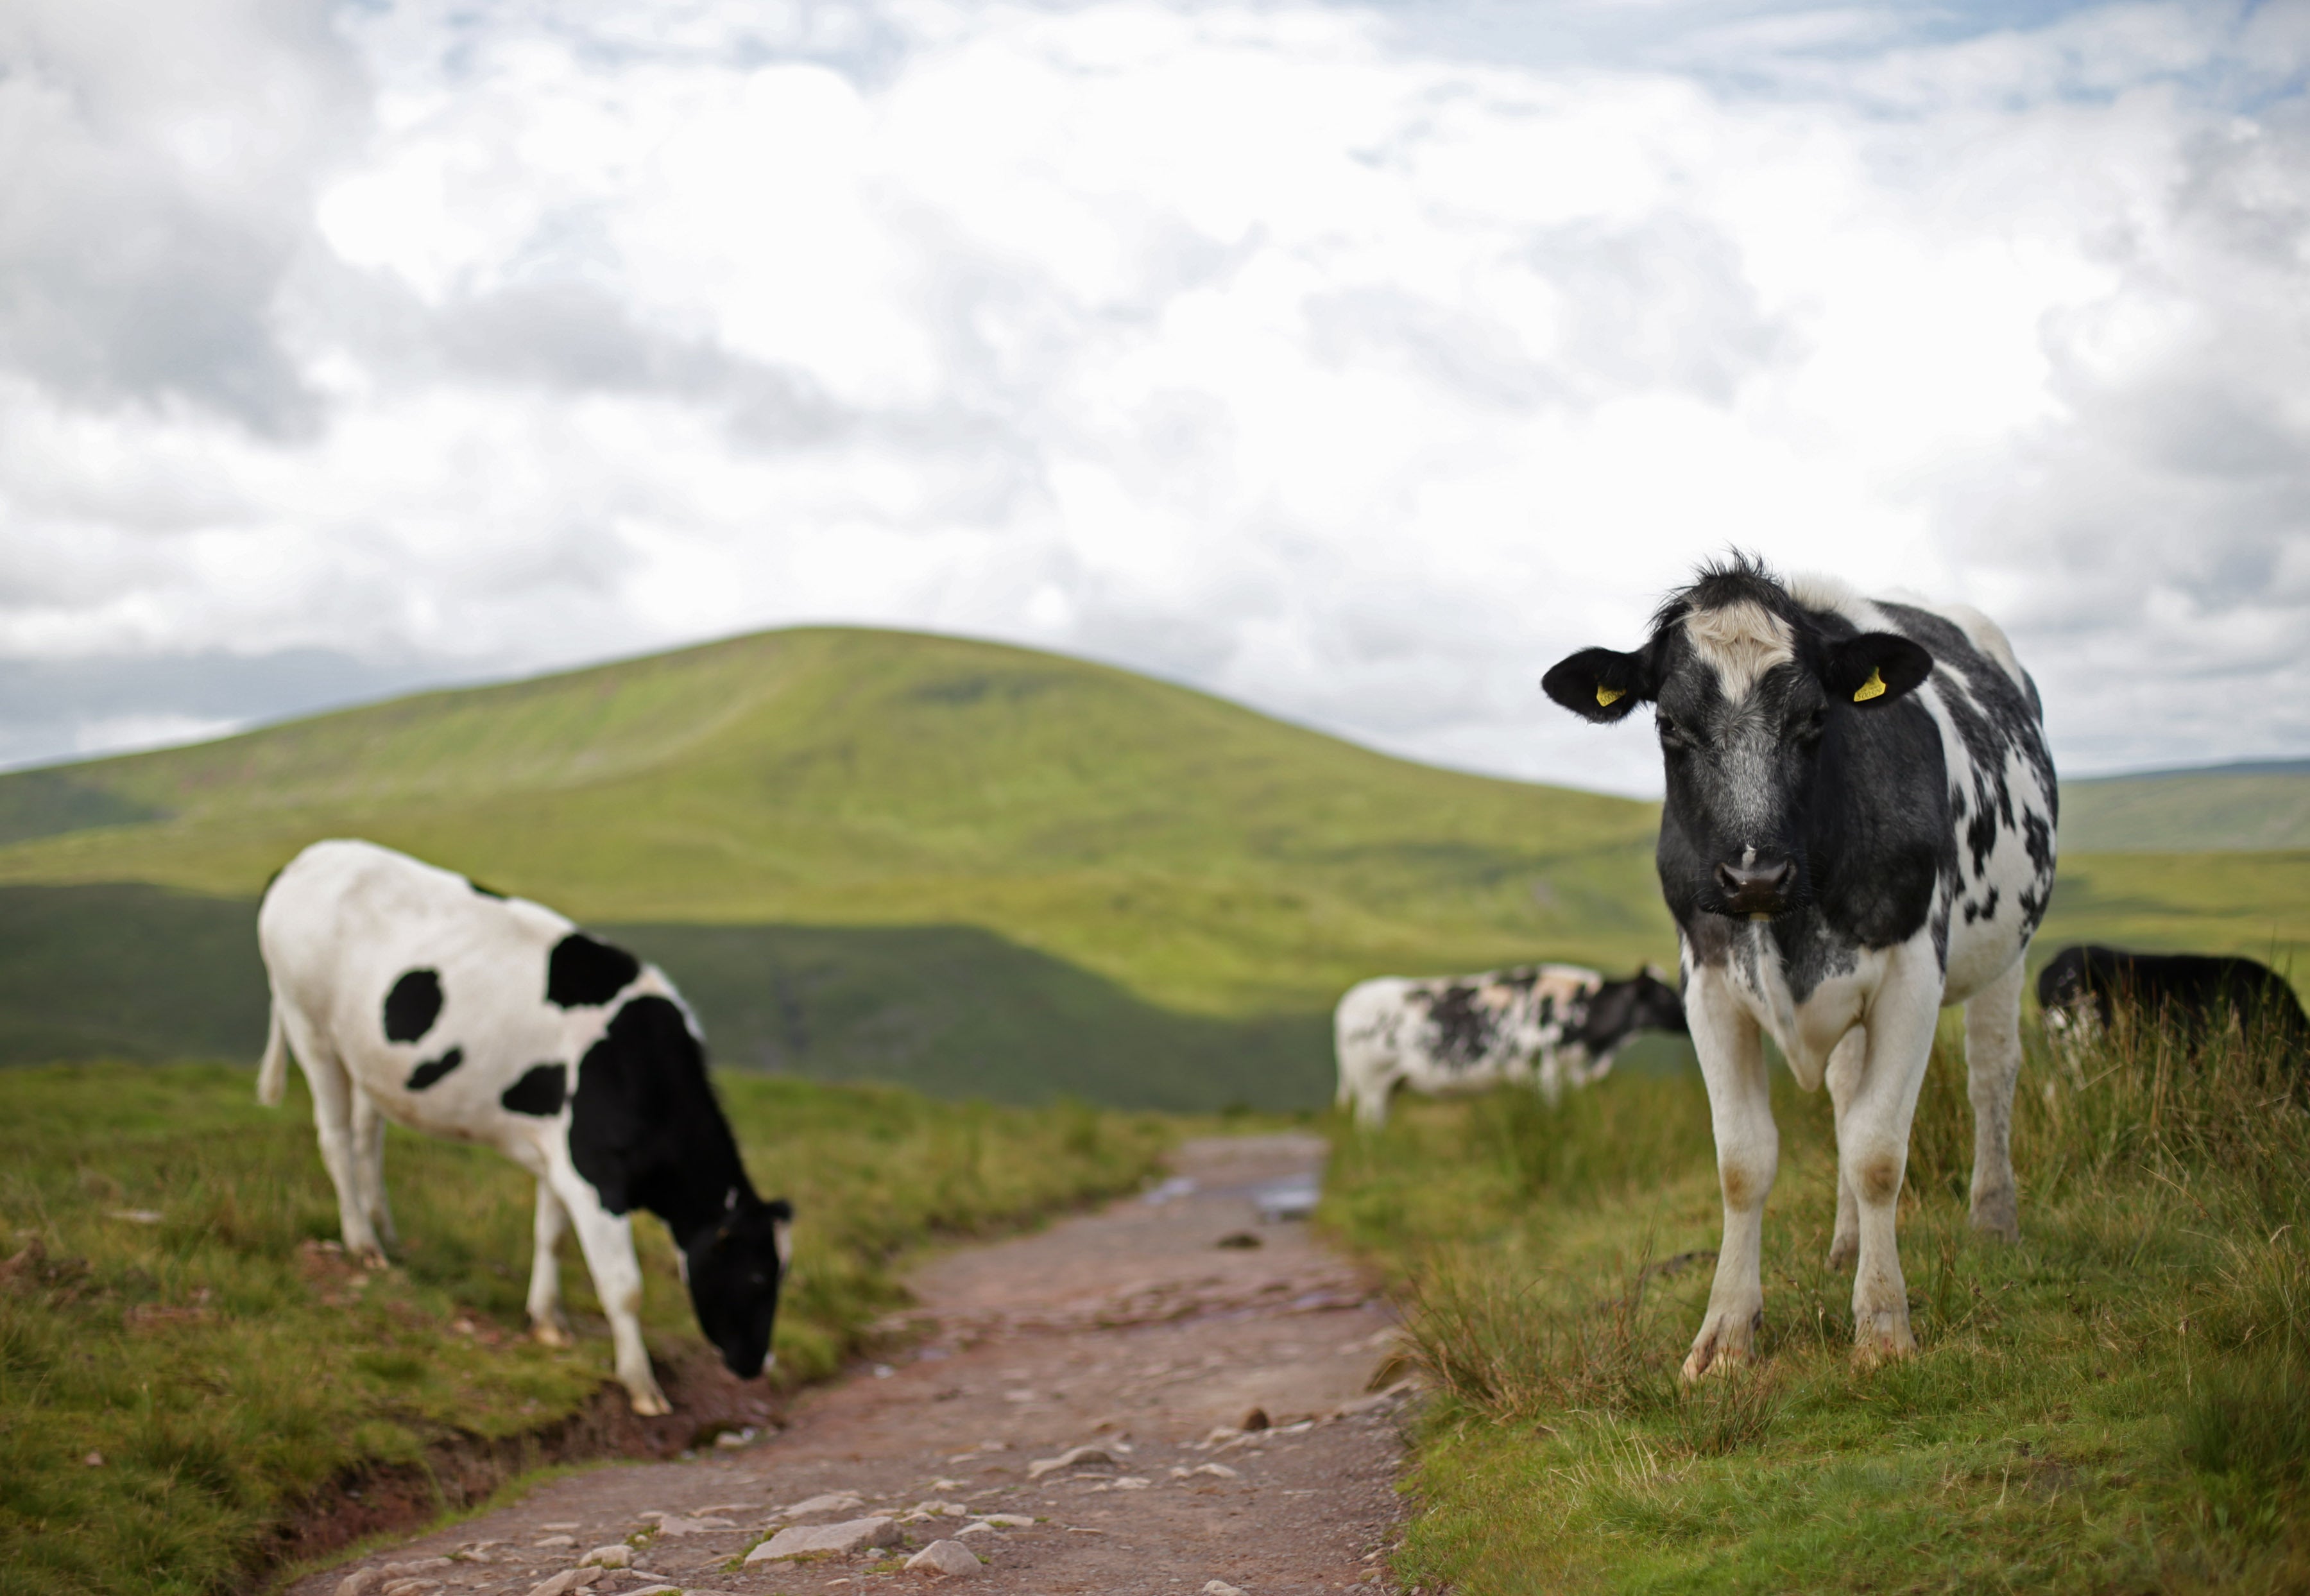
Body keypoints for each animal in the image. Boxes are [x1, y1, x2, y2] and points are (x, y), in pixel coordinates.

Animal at [260, 836, 794, 1413]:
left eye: (781, 1275)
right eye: (757, 1276)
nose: (757, 1365)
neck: (640, 1066)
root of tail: (309, 856)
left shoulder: (560, 1158)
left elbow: (550, 1235)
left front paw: (547, 1322)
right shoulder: (593, 1171)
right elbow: (623, 1285)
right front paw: (642, 1386)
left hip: (366, 1058)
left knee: (367, 1139)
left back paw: (386, 1232)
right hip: (310, 1028)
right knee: (335, 1139)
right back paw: (363, 1244)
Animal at [1330, 961, 1691, 1122]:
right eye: (1664, 994)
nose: (1690, 1017)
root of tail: (1349, 1000)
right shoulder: (1545, 1073)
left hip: (1390, 1087)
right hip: (1371, 1085)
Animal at [1552, 556, 2060, 1377]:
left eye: (1817, 718)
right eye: (1668, 725)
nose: (1754, 875)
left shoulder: (1913, 969)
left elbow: (1878, 1152)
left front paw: (1883, 1326)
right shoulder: (1707, 980)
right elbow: (1744, 1162)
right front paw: (1725, 1335)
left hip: (2007, 948)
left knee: (1990, 1074)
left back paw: (1993, 1220)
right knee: (1848, 1094)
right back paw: (1846, 1244)